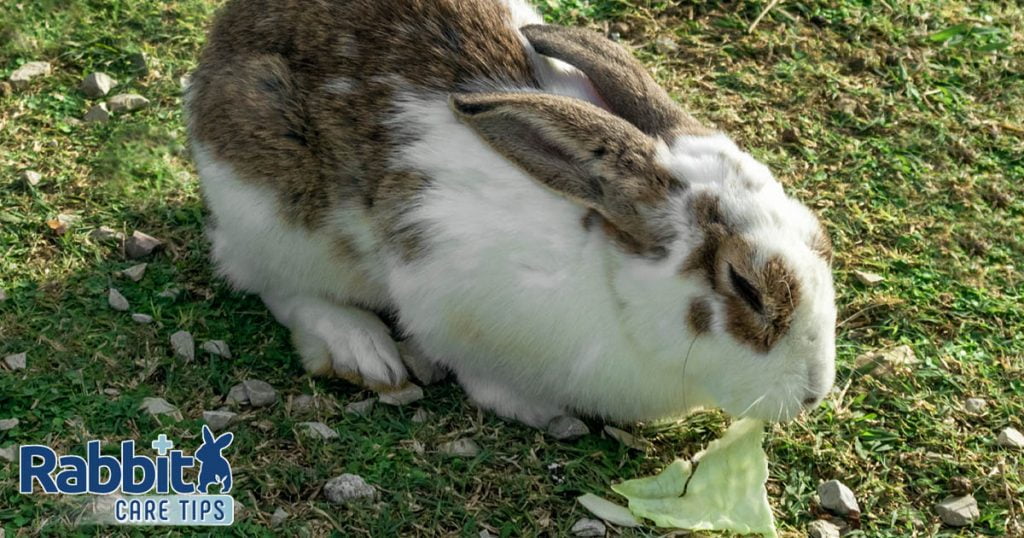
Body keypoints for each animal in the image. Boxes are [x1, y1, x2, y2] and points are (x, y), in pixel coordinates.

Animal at [185, 0, 837, 429]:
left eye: (818, 235)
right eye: (746, 288)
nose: (813, 395)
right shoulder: (446, 289)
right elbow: (472, 366)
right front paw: (540, 410)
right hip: (276, 211)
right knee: (270, 281)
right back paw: (362, 349)